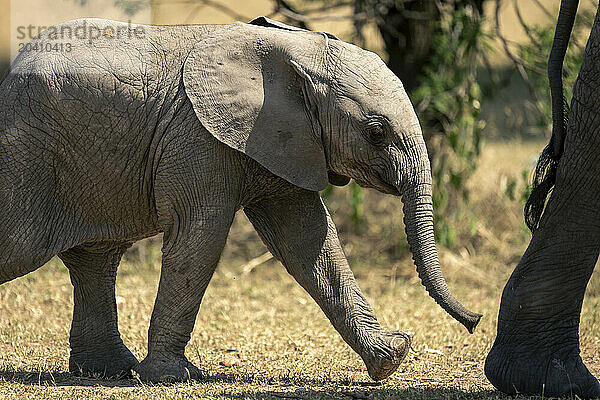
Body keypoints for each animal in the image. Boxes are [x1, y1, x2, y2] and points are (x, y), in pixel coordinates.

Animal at [0, 17, 480, 382]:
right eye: (376, 131)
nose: (475, 321)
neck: (296, 51)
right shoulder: (196, 137)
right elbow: (202, 236)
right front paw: (173, 377)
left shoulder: (288, 140)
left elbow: (309, 240)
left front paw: (390, 359)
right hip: (29, 154)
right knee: (25, 247)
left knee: (96, 259)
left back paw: (107, 373)